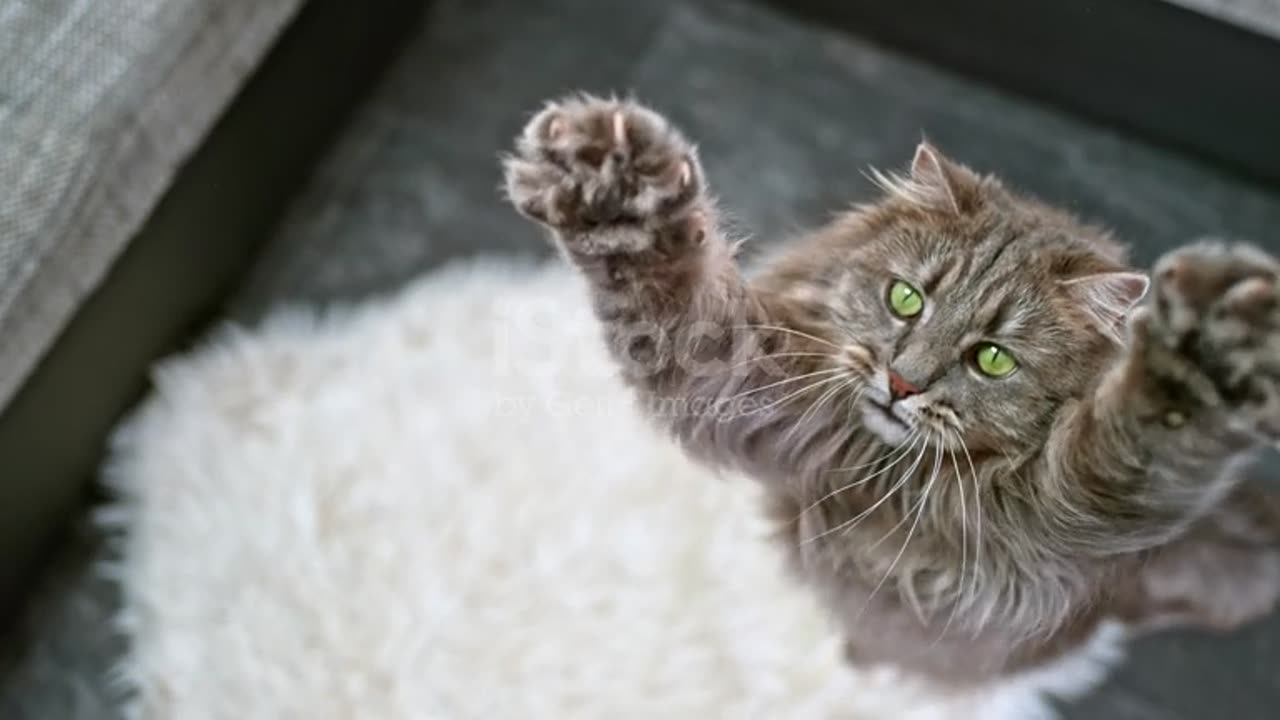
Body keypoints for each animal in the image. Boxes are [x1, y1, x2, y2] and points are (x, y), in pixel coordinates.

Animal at [499, 94, 1280, 696]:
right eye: (905, 300)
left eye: (992, 359)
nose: (902, 382)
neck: (886, 476)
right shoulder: (747, 385)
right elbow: (666, 281)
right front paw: (608, 179)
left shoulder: (1069, 508)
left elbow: (1139, 437)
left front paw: (1203, 356)